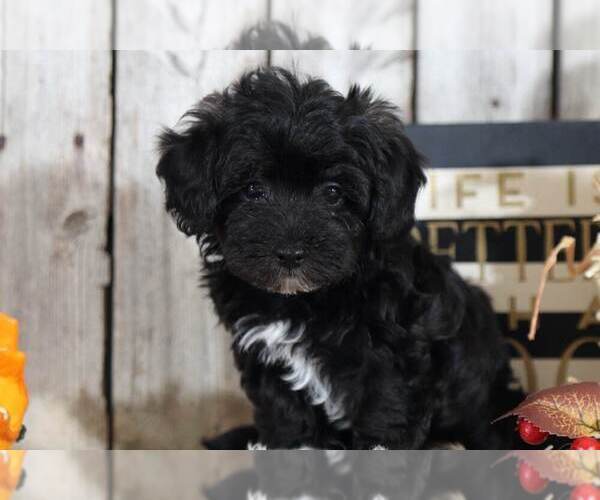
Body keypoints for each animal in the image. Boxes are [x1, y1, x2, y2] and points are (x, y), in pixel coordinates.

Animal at [157, 65, 524, 450]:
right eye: (253, 190)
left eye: (333, 193)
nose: (291, 253)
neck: (303, 302)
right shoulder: (266, 354)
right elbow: (285, 416)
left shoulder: (393, 354)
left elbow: (387, 411)